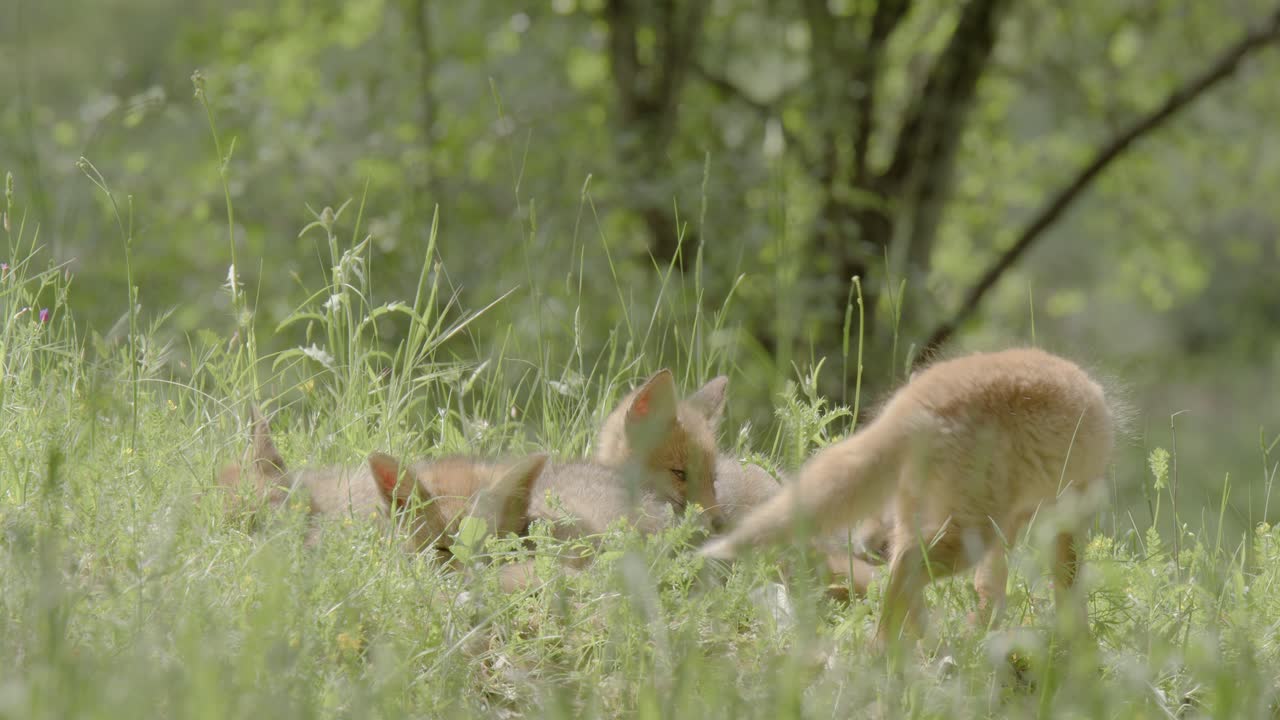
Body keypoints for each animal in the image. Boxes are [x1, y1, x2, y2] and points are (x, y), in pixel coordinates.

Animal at [699, 348, 1116, 648]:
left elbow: (991, 589)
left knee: (902, 570)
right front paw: (1077, 648)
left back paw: (917, 643)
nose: (866, 544)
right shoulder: (1069, 510)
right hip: (970, 534)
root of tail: (915, 402)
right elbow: (1068, 585)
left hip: (937, 516)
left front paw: (983, 630)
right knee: (907, 569)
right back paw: (886, 651)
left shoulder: (1012, 523)